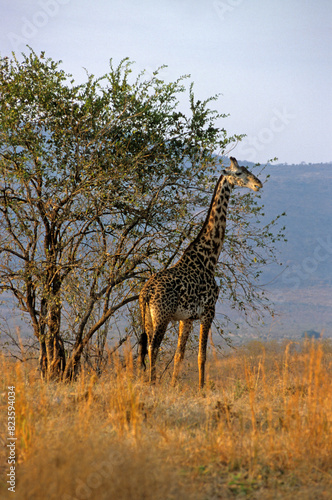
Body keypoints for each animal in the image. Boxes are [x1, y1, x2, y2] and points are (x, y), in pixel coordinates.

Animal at [137, 156, 262, 386]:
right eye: (239, 173)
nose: (258, 184)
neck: (209, 258)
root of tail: (146, 293)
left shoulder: (186, 318)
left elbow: (179, 355)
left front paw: (174, 386)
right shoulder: (208, 311)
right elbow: (202, 356)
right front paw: (202, 388)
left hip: (148, 317)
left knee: (144, 346)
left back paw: (149, 381)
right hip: (162, 316)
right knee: (153, 347)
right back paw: (152, 383)